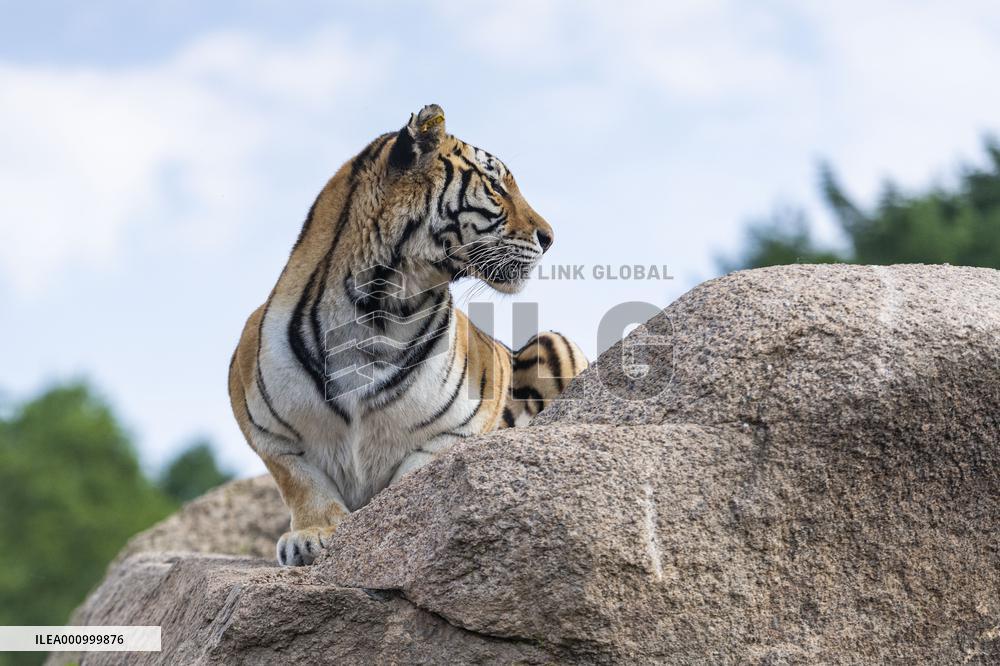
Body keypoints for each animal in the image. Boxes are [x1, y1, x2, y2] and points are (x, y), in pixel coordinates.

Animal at [229, 104, 588, 566]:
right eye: (495, 186)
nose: (550, 238)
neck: (375, 313)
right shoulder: (264, 426)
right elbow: (301, 481)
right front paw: (311, 536)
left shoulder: (459, 429)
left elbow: (411, 478)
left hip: (557, 342)